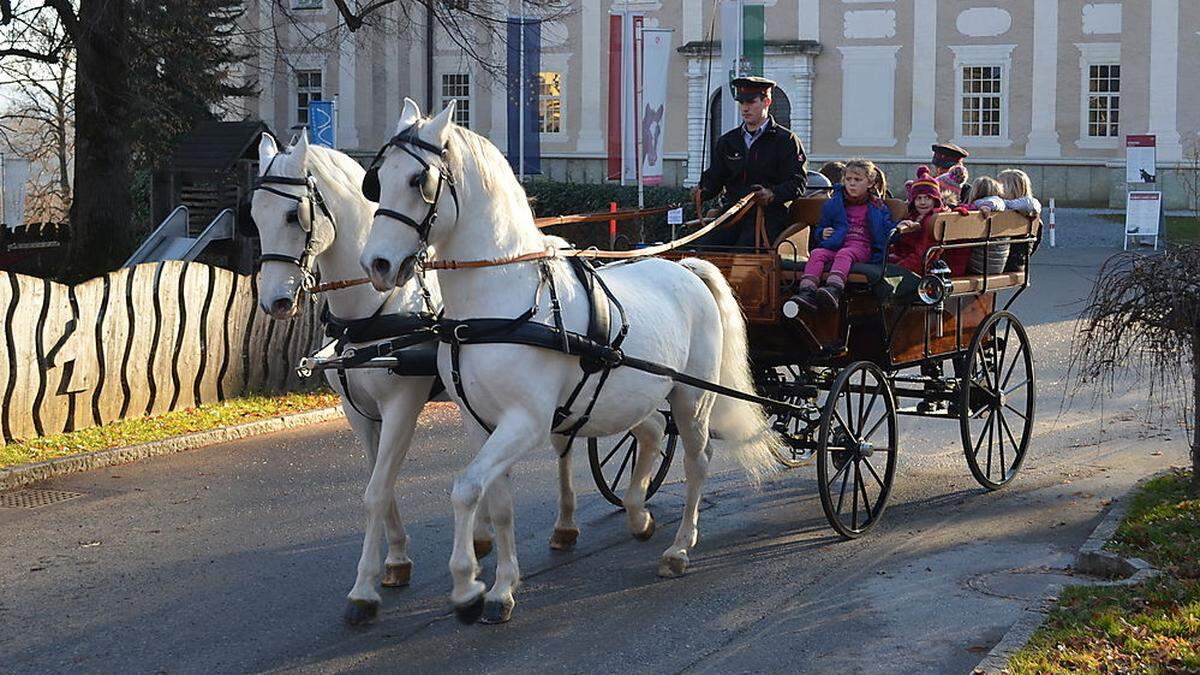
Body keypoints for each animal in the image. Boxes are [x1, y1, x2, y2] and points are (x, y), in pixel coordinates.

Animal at [254, 128, 590, 624]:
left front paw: (364, 589)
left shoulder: (401, 406)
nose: (274, 301)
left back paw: (565, 523)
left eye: (294, 215)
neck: (372, 312)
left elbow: (377, 491)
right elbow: (381, 484)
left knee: (565, 447)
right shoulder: (359, 413)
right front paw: (394, 560)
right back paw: (483, 534)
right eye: (253, 215)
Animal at [355, 100, 777, 624]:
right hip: (633, 393)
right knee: (651, 434)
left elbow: (465, 488)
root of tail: (688, 268)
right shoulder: (482, 423)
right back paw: (638, 513)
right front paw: (501, 587)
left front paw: (466, 585)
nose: (376, 264)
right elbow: (498, 503)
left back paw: (679, 548)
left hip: (691, 396)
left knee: (697, 463)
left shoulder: (526, 422)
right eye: (378, 178)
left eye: (420, 180)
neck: (499, 307)